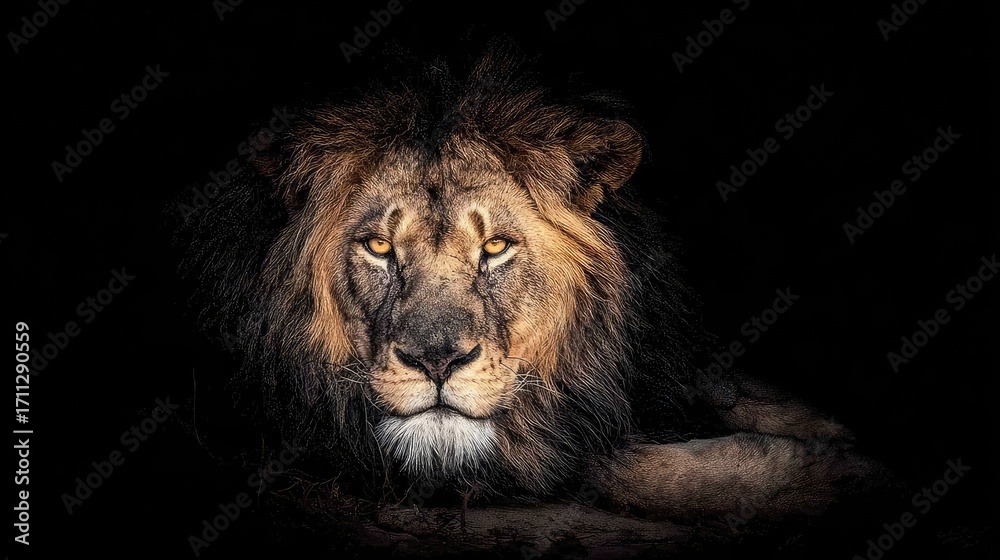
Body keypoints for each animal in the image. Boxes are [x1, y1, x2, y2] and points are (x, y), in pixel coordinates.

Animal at [178, 47, 886, 532]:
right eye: (379, 247)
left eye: (495, 248)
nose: (437, 361)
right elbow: (620, 463)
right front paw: (833, 474)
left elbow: (735, 392)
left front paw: (831, 430)